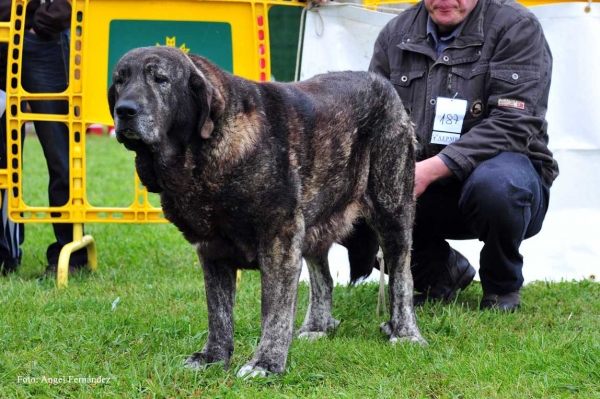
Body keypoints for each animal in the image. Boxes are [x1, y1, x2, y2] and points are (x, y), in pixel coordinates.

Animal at [109, 46, 426, 378]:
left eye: (161, 79)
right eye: (120, 80)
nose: (125, 110)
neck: (203, 155)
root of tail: (384, 84)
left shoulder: (279, 240)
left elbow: (274, 310)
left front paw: (266, 363)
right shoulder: (212, 250)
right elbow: (218, 312)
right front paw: (213, 357)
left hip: (392, 211)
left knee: (401, 275)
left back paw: (405, 332)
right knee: (323, 279)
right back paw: (317, 327)